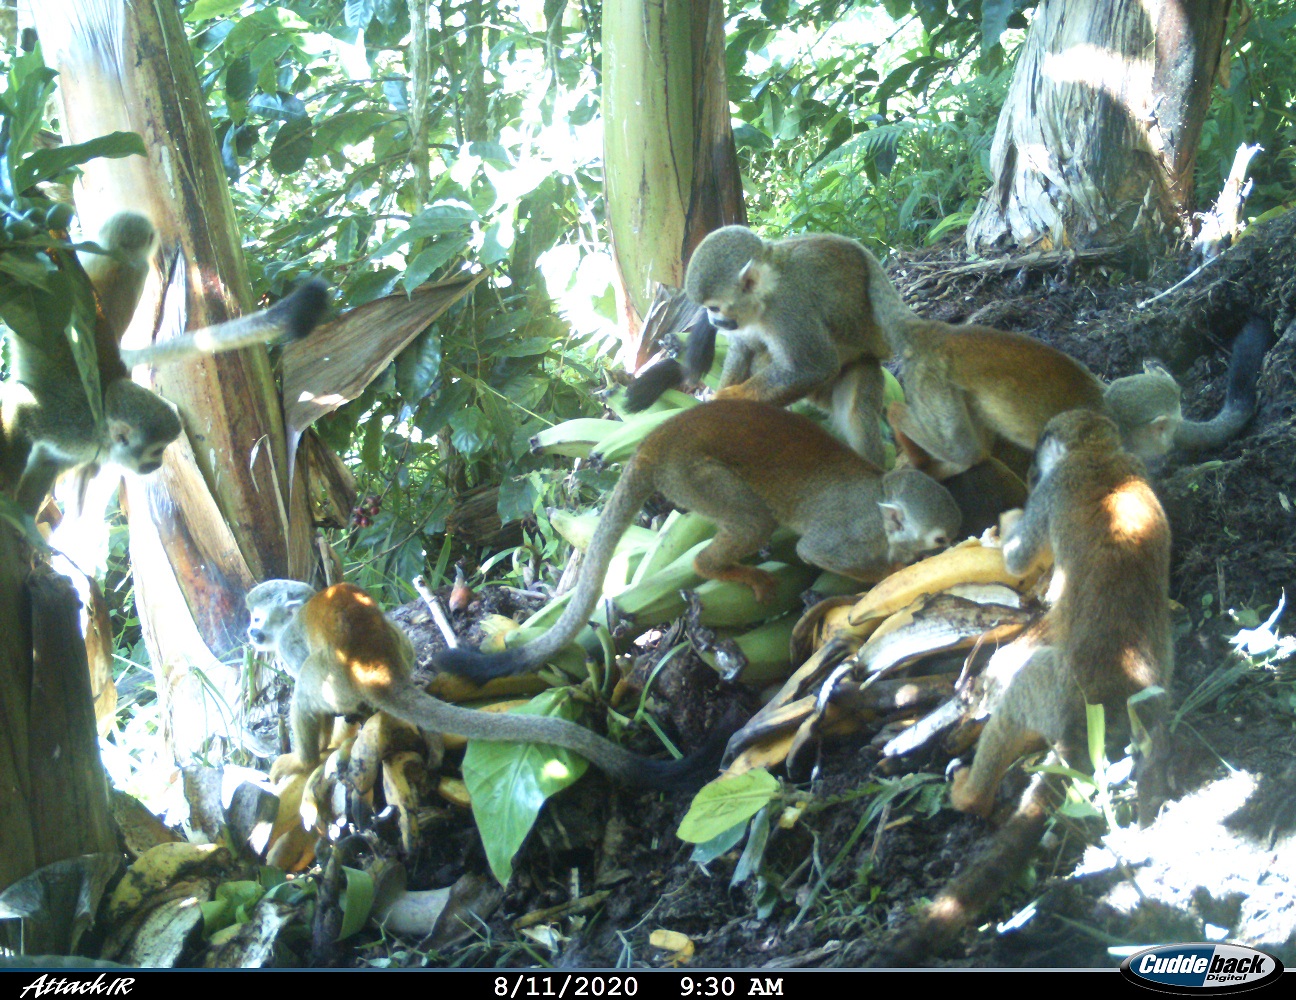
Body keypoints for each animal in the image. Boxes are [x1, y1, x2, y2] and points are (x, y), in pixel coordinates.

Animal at [0, 211, 329, 513]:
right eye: (154, 451)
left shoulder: (79, 446)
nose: (157, 465)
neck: (103, 436)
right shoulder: (72, 424)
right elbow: (19, 410)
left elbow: (46, 460)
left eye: (163, 451)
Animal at [245, 579, 729, 789]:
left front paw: (320, 749)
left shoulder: (289, 642)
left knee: (305, 692)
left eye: (255, 618)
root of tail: (374, 667)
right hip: (393, 647)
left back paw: (304, 760)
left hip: (335, 675)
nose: (250, 633)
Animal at [436, 399, 962, 685]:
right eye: (939, 537)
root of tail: (656, 440)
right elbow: (815, 552)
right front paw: (891, 575)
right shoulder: (852, 532)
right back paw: (718, 568)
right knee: (752, 520)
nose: (947, 550)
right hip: (691, 474)